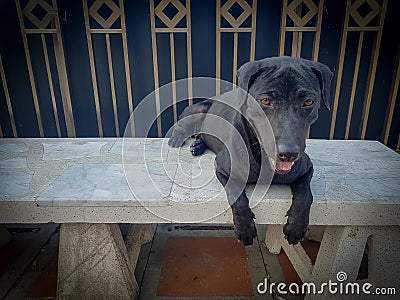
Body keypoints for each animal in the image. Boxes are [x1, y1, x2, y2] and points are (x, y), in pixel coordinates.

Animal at [167, 56, 332, 246]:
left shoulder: (307, 168)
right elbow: (237, 195)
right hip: (197, 110)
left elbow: (305, 194)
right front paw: (245, 228)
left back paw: (198, 146)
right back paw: (179, 139)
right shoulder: (222, 169)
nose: (288, 153)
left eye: (308, 102)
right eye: (265, 101)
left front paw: (296, 226)